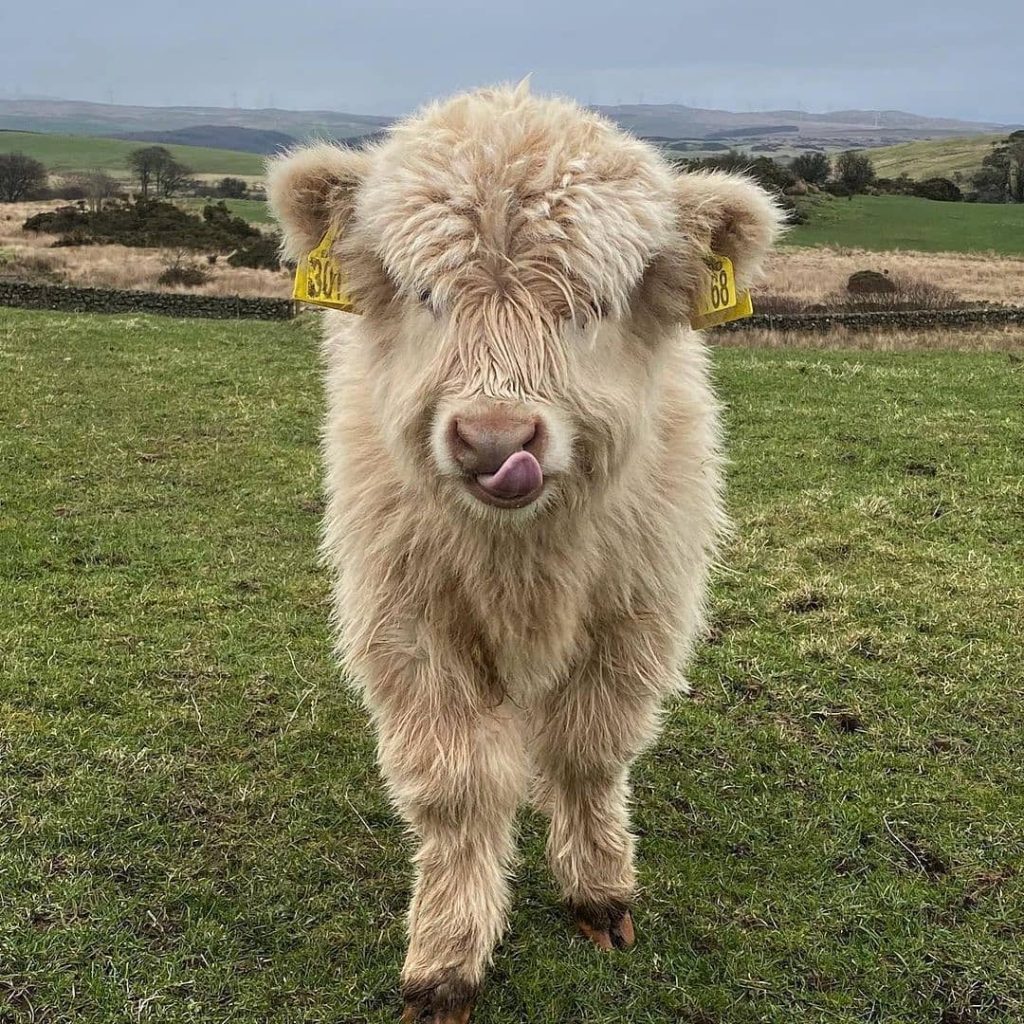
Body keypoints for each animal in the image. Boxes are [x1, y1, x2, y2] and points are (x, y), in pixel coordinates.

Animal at [266, 83, 782, 1019]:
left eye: (593, 303)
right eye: (426, 292)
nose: (493, 441)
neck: (524, 558)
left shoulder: (635, 615)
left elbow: (591, 749)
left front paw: (599, 891)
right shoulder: (411, 625)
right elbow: (458, 788)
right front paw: (445, 956)